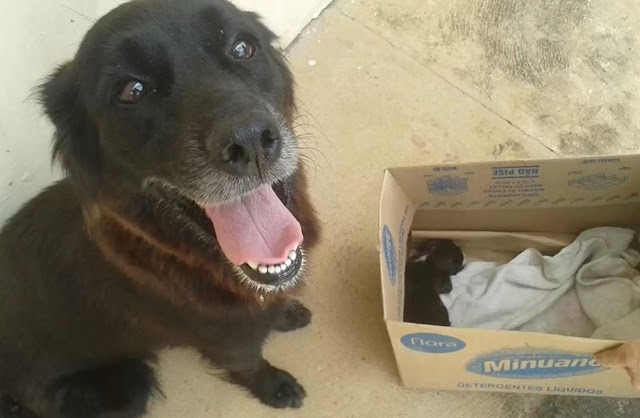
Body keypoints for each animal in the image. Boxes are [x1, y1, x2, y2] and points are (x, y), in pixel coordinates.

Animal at [0, 1, 320, 416]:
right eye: (132, 90)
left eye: (242, 48)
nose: (251, 141)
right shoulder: (227, 342)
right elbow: (249, 364)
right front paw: (275, 386)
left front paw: (286, 312)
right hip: (130, 386)